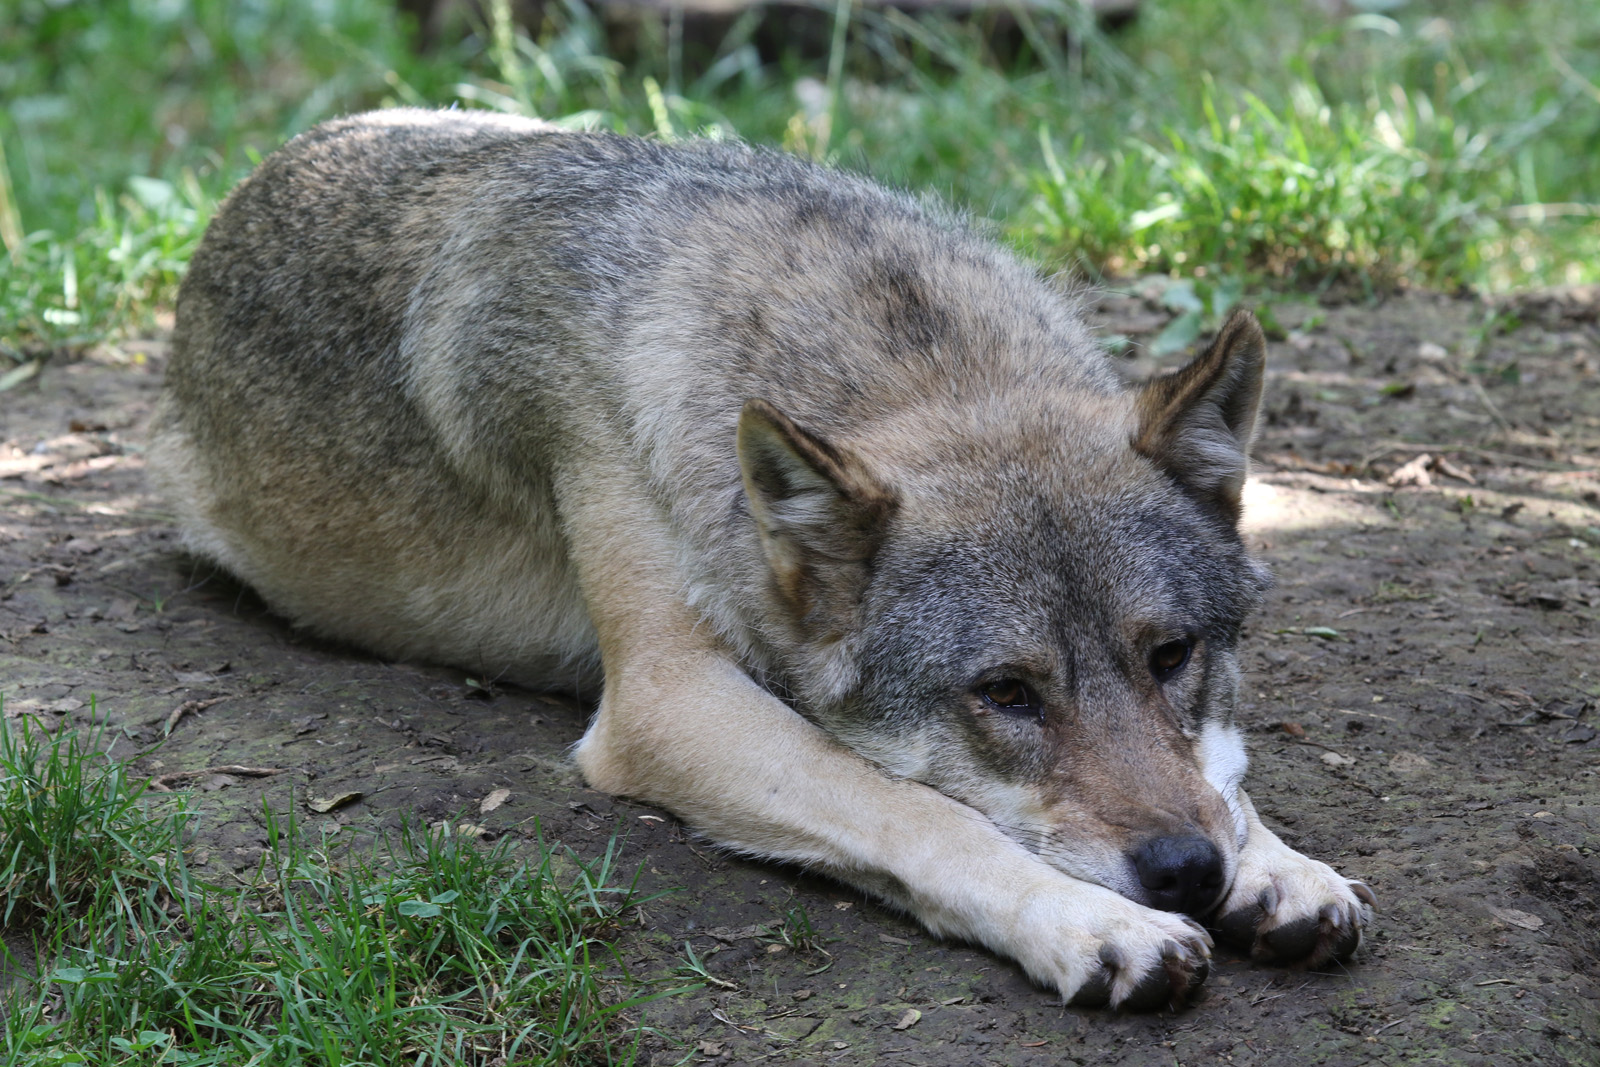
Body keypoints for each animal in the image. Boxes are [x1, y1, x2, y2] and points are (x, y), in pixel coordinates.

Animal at [150, 108, 1373, 1011]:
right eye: (1006, 694)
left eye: (1170, 655)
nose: (1185, 873)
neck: (911, 360)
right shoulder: (664, 697)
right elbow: (918, 810)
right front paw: (1096, 924)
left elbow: (1220, 771)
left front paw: (1279, 865)